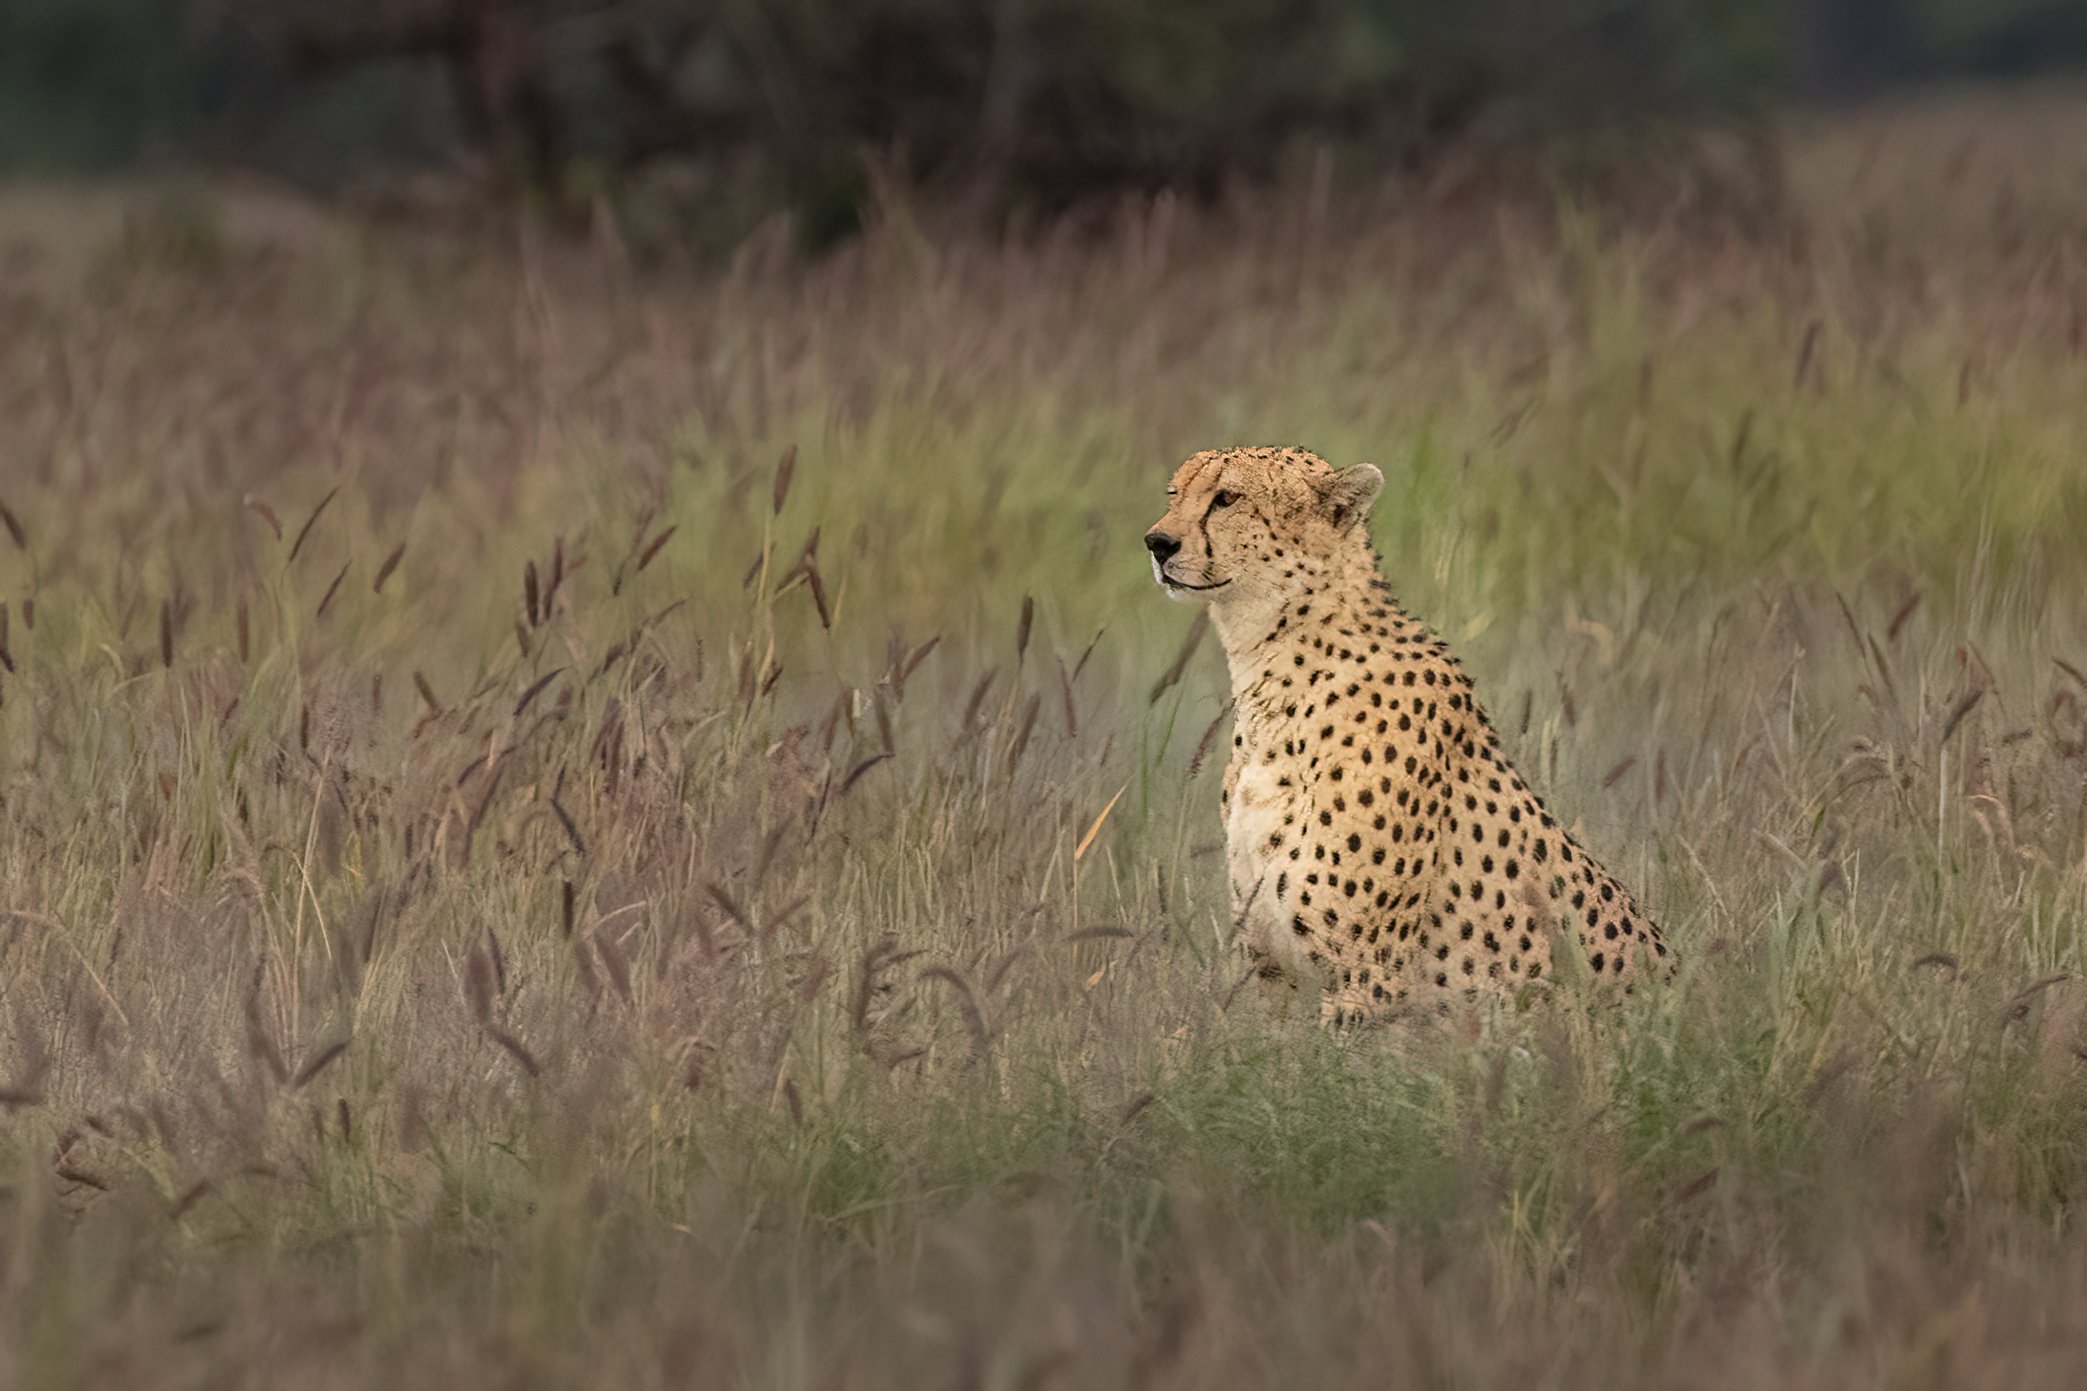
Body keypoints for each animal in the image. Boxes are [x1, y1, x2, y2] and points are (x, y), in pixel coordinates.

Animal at [1144, 445, 1670, 1025]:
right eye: (1174, 493)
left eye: (1227, 498)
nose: (1157, 543)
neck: (1274, 679)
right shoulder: (1271, 976)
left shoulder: (1364, 978)